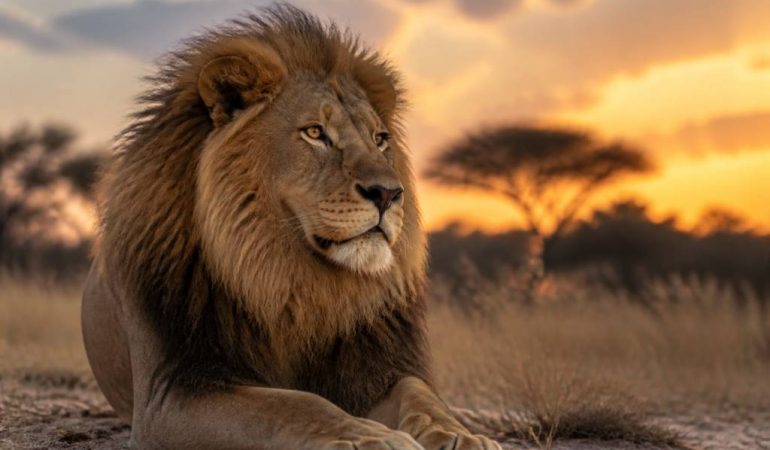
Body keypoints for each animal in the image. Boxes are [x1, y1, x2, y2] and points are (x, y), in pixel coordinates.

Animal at [81, 5, 501, 450]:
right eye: (315, 132)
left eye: (380, 138)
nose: (388, 193)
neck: (289, 280)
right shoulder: (172, 392)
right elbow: (293, 404)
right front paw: (369, 437)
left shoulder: (375, 370)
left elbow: (420, 394)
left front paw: (461, 436)